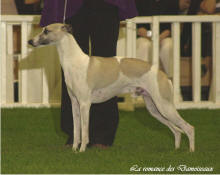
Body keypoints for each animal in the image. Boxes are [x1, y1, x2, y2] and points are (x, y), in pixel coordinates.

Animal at [28, 23, 195, 153]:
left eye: (46, 30)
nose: (30, 41)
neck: (74, 61)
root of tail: (163, 75)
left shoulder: (85, 104)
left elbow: (84, 131)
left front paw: (82, 150)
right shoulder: (74, 103)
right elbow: (76, 130)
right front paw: (74, 148)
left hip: (164, 106)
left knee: (188, 128)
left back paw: (191, 151)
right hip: (154, 109)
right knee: (177, 130)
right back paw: (176, 149)